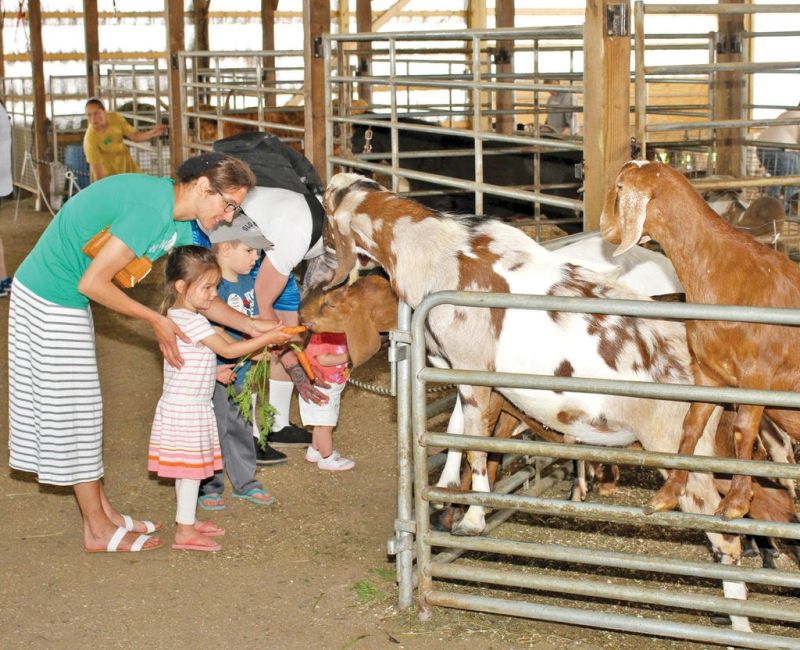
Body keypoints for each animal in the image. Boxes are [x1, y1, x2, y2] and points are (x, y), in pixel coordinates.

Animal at [600, 159, 800, 520]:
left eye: (620, 188)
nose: (605, 229)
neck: (720, 268)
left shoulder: (757, 375)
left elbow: (743, 431)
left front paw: (736, 502)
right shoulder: (708, 372)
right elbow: (691, 424)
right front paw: (669, 492)